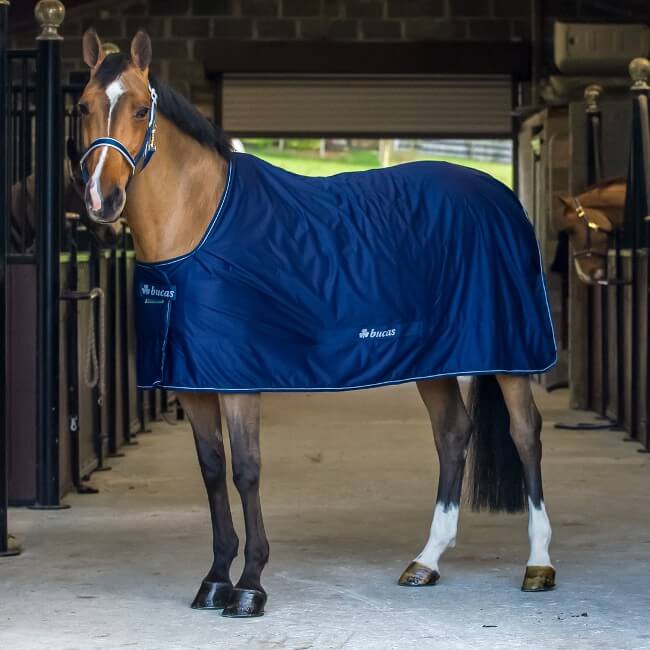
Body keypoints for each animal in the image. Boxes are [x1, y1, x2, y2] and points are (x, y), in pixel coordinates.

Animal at [76, 28, 557, 618]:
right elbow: (212, 469)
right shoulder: (193, 380)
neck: (201, 222)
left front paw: (250, 586)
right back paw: (427, 561)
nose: (101, 199)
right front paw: (214, 579)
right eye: (83, 107)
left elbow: (246, 470)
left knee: (525, 434)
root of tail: (504, 197)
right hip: (435, 359)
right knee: (452, 434)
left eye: (141, 109)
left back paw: (539, 564)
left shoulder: (239, 380)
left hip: (511, 353)